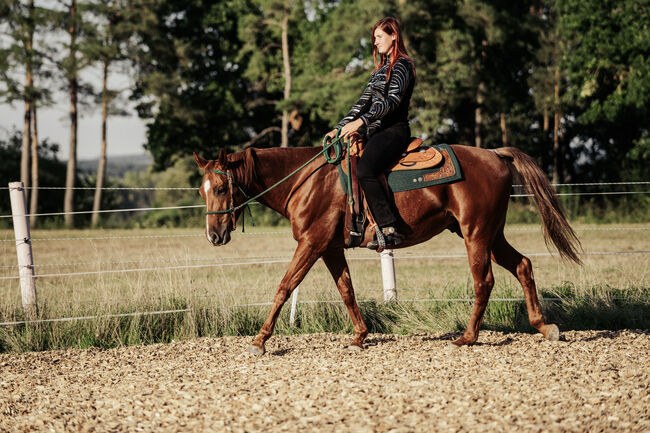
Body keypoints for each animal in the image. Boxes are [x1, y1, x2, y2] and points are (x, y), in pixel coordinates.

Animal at [192, 145, 576, 354]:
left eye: (222, 188)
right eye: (202, 190)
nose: (214, 235)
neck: (306, 181)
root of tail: (495, 155)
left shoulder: (312, 243)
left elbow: (285, 286)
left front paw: (260, 341)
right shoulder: (329, 248)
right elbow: (346, 290)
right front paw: (359, 337)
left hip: (476, 234)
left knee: (484, 281)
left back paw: (467, 338)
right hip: (492, 235)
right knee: (523, 265)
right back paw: (544, 326)